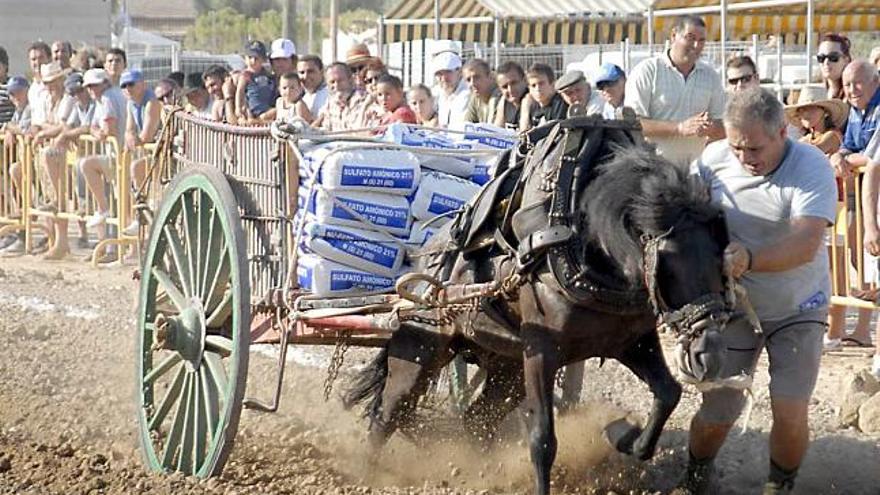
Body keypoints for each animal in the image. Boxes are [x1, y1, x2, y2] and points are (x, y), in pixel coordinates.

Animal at [348, 122, 732, 494]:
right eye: (667, 263)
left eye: (720, 254)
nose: (709, 353)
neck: (585, 242)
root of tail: (424, 259)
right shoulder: (542, 351)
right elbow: (543, 439)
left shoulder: (630, 342)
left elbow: (669, 393)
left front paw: (626, 439)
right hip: (421, 348)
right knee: (387, 413)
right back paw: (366, 475)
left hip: (505, 366)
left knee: (474, 420)